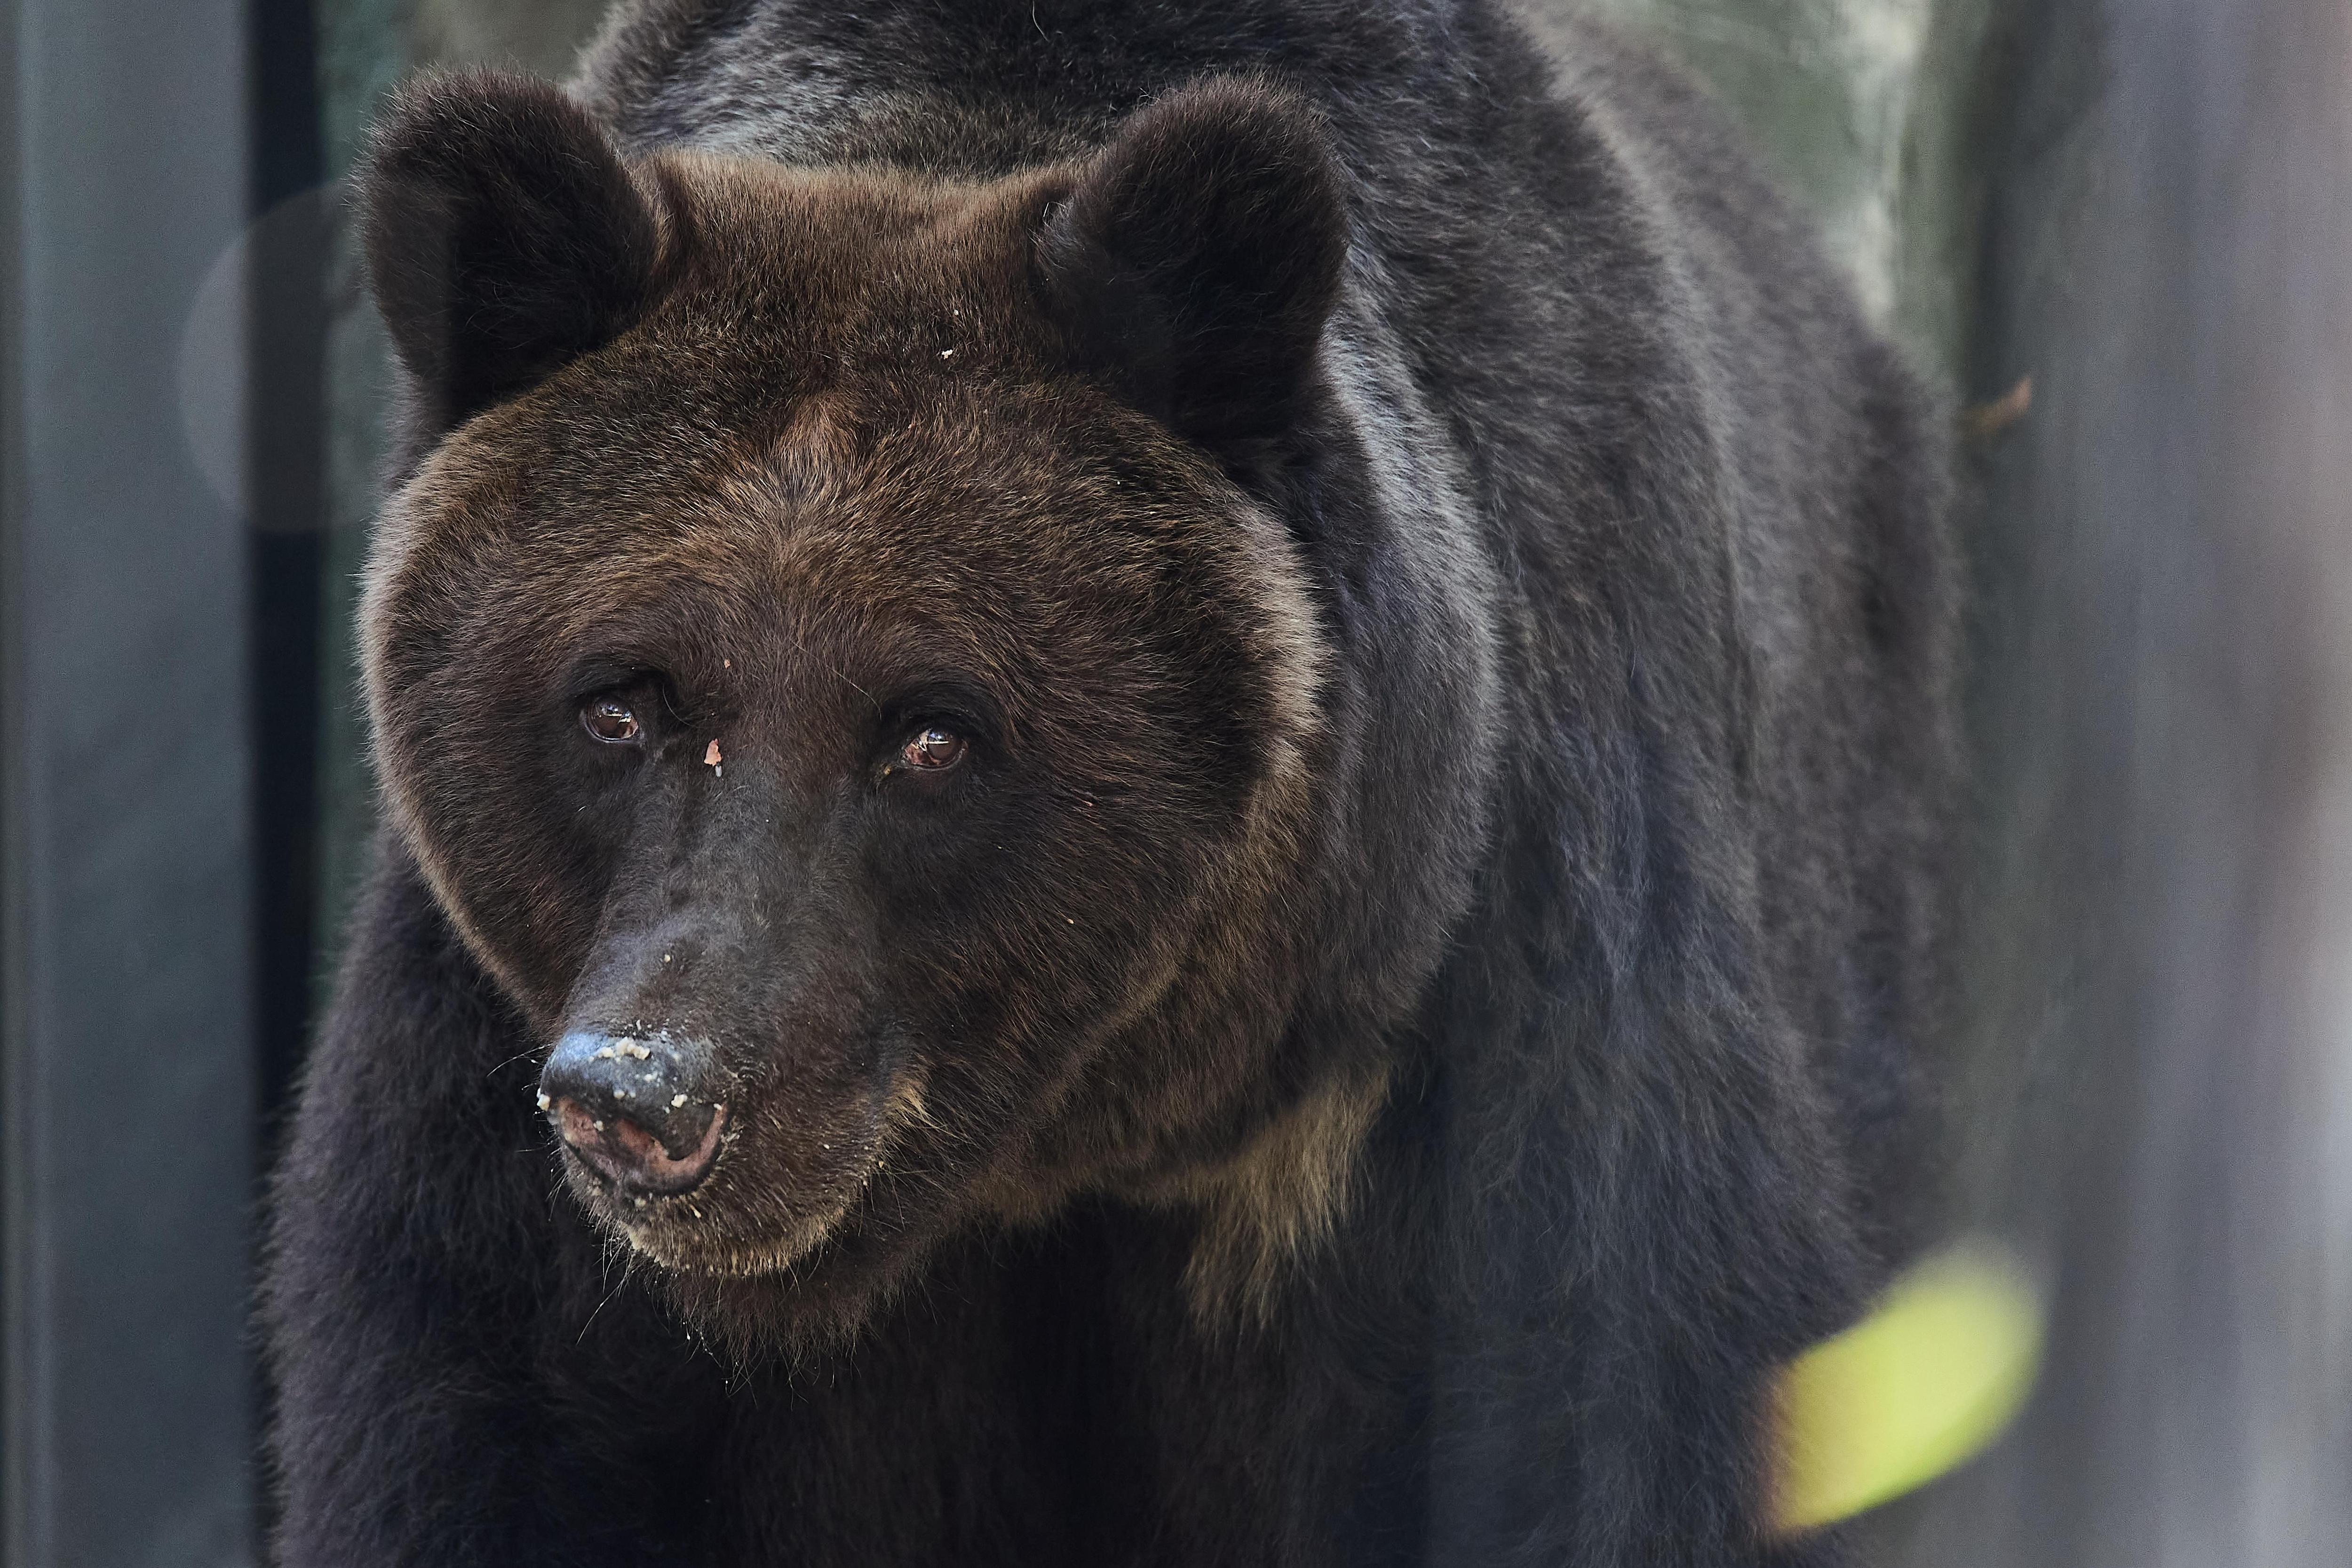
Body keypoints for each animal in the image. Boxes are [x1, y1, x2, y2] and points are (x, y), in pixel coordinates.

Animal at [262, 2, 1957, 1564]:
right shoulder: (494, 1115)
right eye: (619, 702)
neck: (1065, 1147)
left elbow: (1620, 1409)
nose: (651, 1098)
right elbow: (486, 1438)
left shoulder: (1516, 994)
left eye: (932, 733)